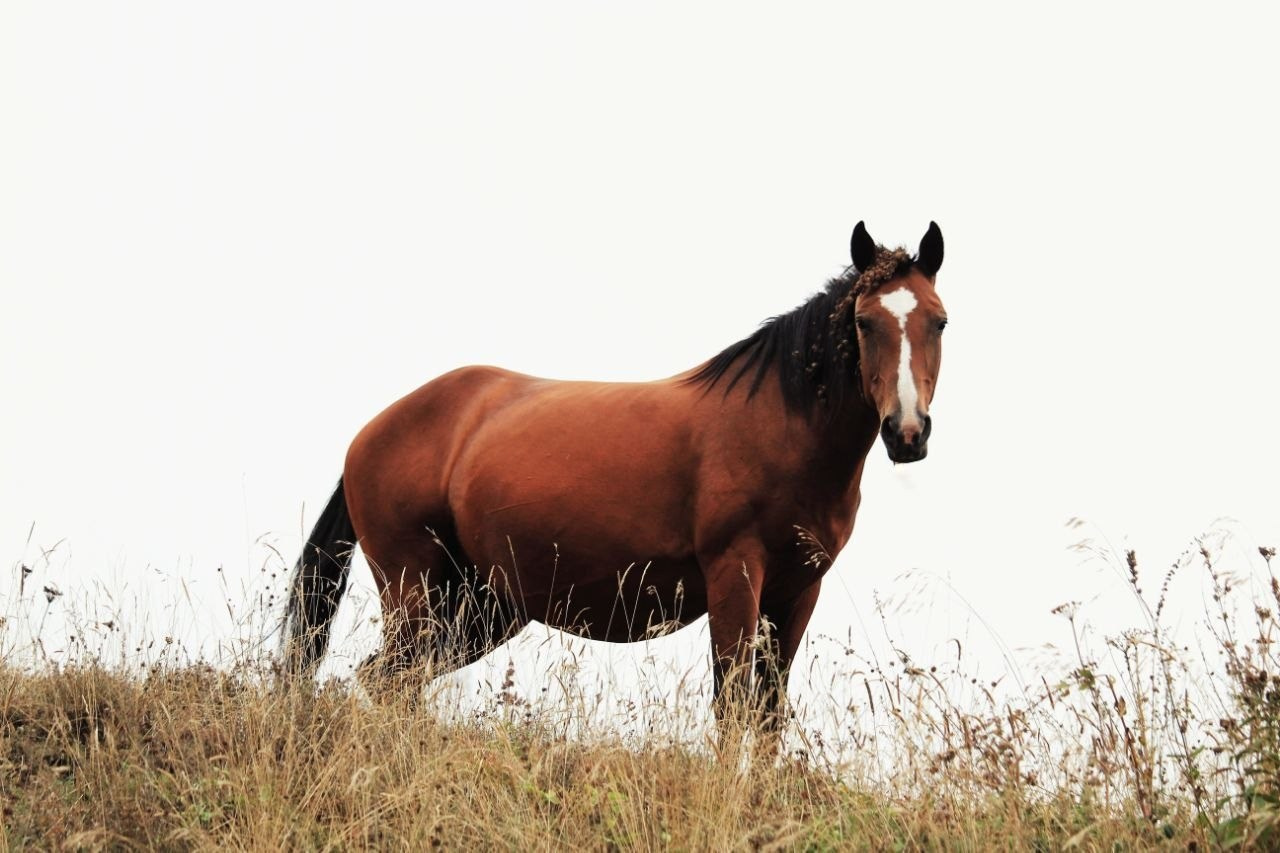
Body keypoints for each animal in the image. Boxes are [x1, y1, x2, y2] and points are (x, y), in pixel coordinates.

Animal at [282, 221, 947, 729]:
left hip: (481, 605)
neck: (779, 425)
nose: (906, 431)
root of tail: (370, 433)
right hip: (414, 589)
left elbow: (767, 714)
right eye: (864, 322)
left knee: (391, 680)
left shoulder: (798, 589)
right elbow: (732, 707)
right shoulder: (735, 576)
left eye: (939, 321)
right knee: (392, 679)